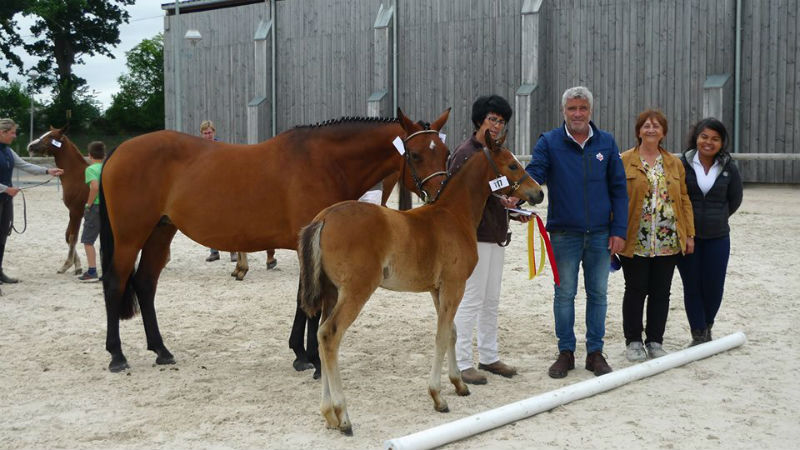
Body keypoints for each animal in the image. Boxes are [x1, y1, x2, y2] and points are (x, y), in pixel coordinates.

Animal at [26, 126, 88, 274]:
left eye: (51, 136)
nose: (30, 146)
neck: (78, 177)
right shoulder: (71, 212)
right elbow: (67, 236)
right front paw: (78, 266)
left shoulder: (77, 212)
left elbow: (73, 237)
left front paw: (66, 265)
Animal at [99, 108, 450, 372]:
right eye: (415, 154)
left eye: (446, 153)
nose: (440, 195)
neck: (323, 161)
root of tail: (119, 150)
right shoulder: (309, 243)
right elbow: (310, 301)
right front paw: (313, 360)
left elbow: (302, 300)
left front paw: (301, 354)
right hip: (130, 236)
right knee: (116, 282)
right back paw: (117, 355)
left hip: (160, 231)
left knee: (145, 284)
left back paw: (161, 350)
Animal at [298, 132, 544, 434]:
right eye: (511, 165)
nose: (539, 193)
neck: (453, 215)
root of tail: (324, 217)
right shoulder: (454, 285)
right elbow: (441, 335)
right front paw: (438, 397)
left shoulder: (437, 290)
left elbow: (452, 332)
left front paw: (459, 384)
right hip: (356, 291)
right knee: (330, 335)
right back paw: (343, 416)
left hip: (332, 292)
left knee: (321, 337)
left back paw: (328, 414)